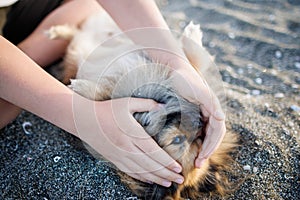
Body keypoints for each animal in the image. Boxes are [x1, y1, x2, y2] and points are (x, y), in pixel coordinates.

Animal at [47, 7, 237, 199]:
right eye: (179, 139)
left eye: (198, 138)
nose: (200, 123)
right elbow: (194, 62)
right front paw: (192, 34)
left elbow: (100, 95)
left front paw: (79, 87)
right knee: (74, 33)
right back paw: (54, 32)